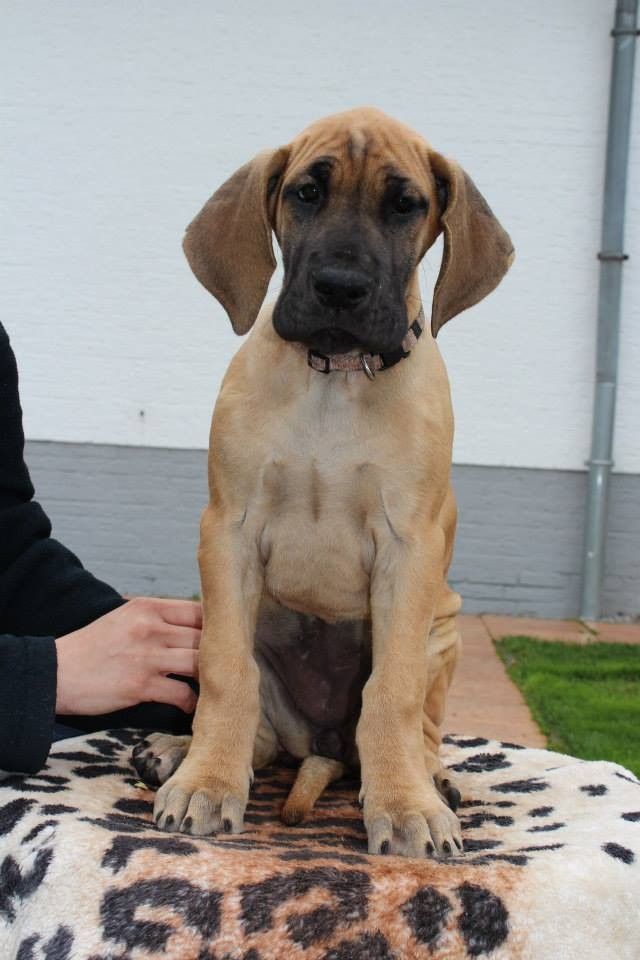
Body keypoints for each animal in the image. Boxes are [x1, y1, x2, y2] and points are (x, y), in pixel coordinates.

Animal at [133, 107, 514, 858]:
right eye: (306, 194)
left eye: (406, 205)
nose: (340, 286)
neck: (336, 376)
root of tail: (325, 744)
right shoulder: (228, 532)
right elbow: (227, 673)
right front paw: (207, 783)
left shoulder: (410, 549)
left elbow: (391, 692)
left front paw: (406, 806)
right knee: (262, 732)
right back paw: (179, 752)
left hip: (444, 628)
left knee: (419, 726)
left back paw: (432, 779)